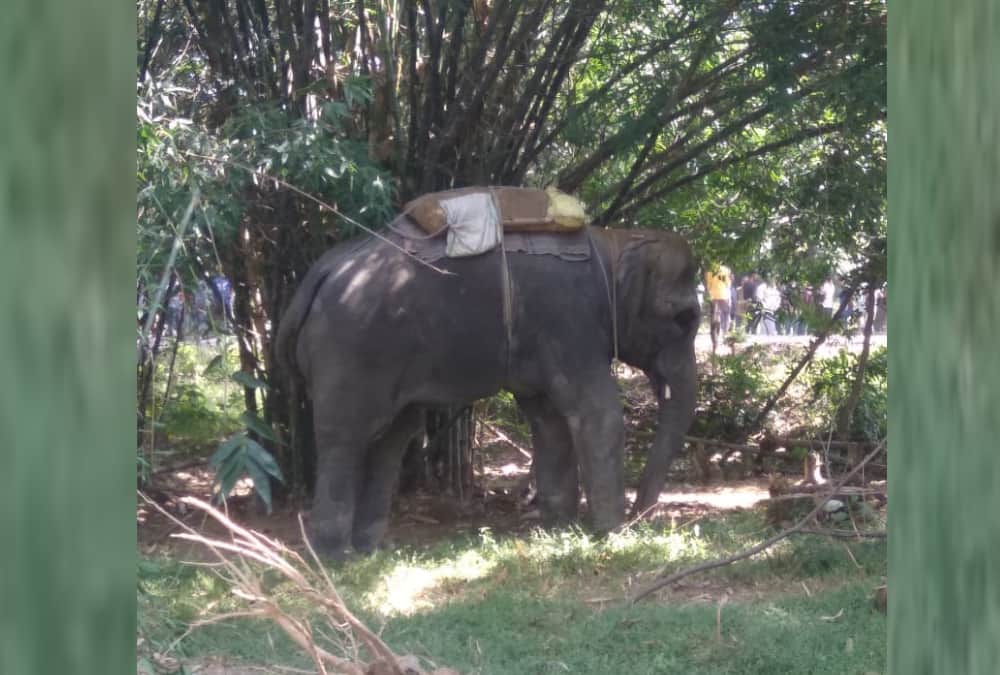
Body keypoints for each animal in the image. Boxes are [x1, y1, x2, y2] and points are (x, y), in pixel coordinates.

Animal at [276, 202, 700, 558]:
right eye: (683, 319)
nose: (641, 515)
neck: (613, 241)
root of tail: (318, 275)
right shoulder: (569, 322)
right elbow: (598, 414)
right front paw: (612, 535)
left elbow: (549, 422)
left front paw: (560, 529)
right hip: (349, 352)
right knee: (346, 439)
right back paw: (334, 557)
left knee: (392, 438)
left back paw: (369, 551)